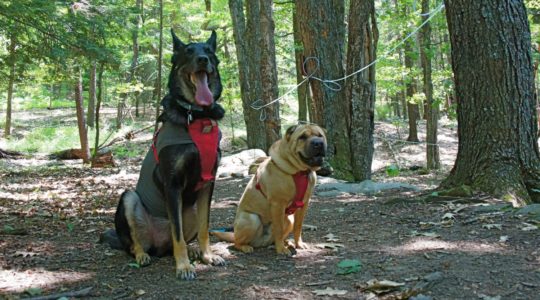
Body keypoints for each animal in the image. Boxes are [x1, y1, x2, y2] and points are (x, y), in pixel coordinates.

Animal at [213, 124, 326, 255]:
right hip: (252, 219)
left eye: (320, 136)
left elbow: (298, 227)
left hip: (289, 219)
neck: (301, 171)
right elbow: (279, 229)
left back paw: (286, 242)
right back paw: (246, 247)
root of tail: (261, 242)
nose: (318, 143)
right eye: (302, 137)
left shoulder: (303, 204)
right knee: (236, 242)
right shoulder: (278, 204)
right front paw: (281, 249)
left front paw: (299, 244)